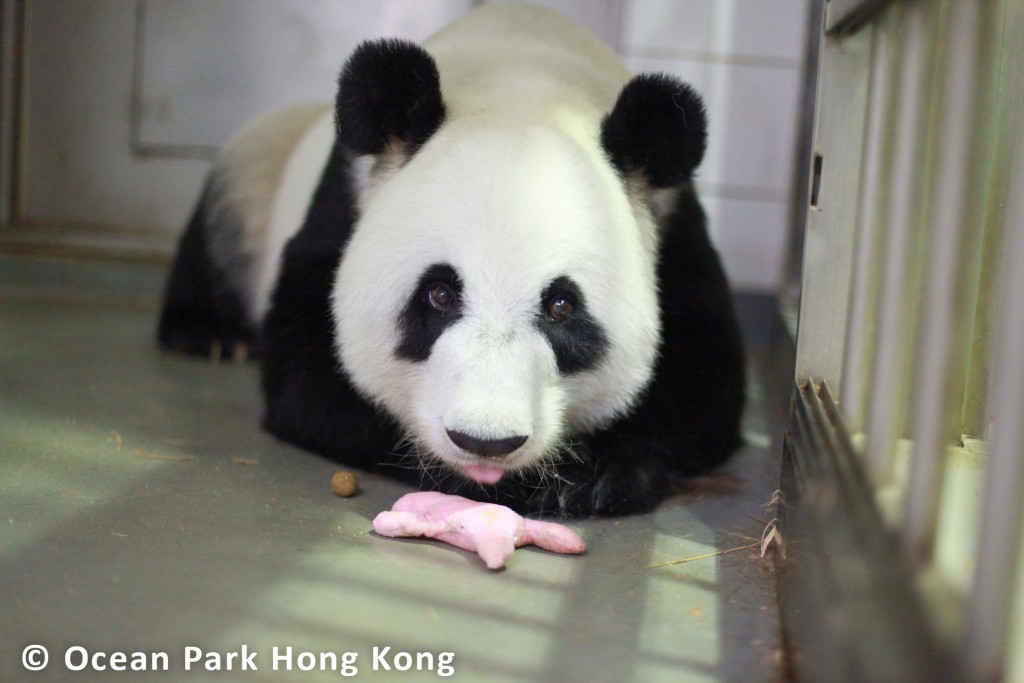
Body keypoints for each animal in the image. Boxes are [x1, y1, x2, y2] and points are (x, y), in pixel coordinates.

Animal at [155, 3, 745, 518]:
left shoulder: (675, 229)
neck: (522, 82)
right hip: (256, 173)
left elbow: (704, 388)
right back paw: (209, 335)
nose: (486, 442)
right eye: (438, 294)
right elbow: (307, 376)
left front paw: (595, 475)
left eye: (561, 306)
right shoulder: (344, 205)